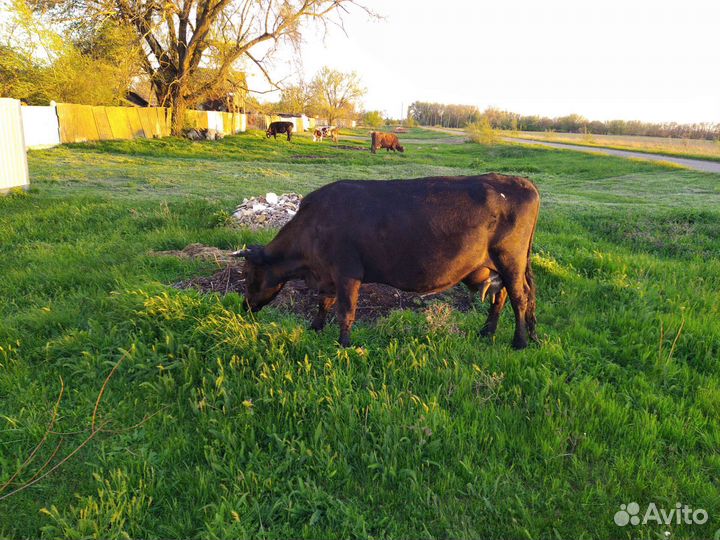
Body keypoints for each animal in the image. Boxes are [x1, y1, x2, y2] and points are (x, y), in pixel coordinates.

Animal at [234, 173, 540, 349]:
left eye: (248, 275)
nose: (244, 307)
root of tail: (522, 182)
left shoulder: (347, 272)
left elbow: (345, 311)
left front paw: (344, 345)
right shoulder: (329, 275)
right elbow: (324, 303)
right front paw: (315, 329)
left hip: (510, 259)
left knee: (519, 297)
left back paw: (520, 341)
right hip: (494, 266)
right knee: (500, 296)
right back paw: (488, 333)